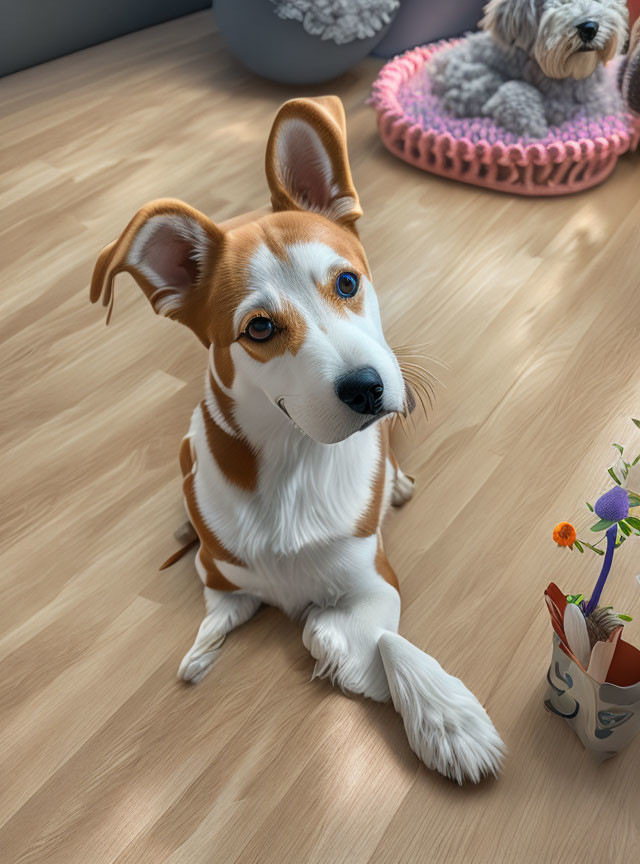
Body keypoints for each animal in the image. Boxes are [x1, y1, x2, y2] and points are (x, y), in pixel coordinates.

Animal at [90, 94, 502, 784]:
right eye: (258, 328)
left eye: (347, 282)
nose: (367, 389)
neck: (294, 464)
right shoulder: (221, 574)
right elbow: (230, 607)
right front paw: (211, 644)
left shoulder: (376, 581)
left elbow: (372, 639)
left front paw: (450, 720)